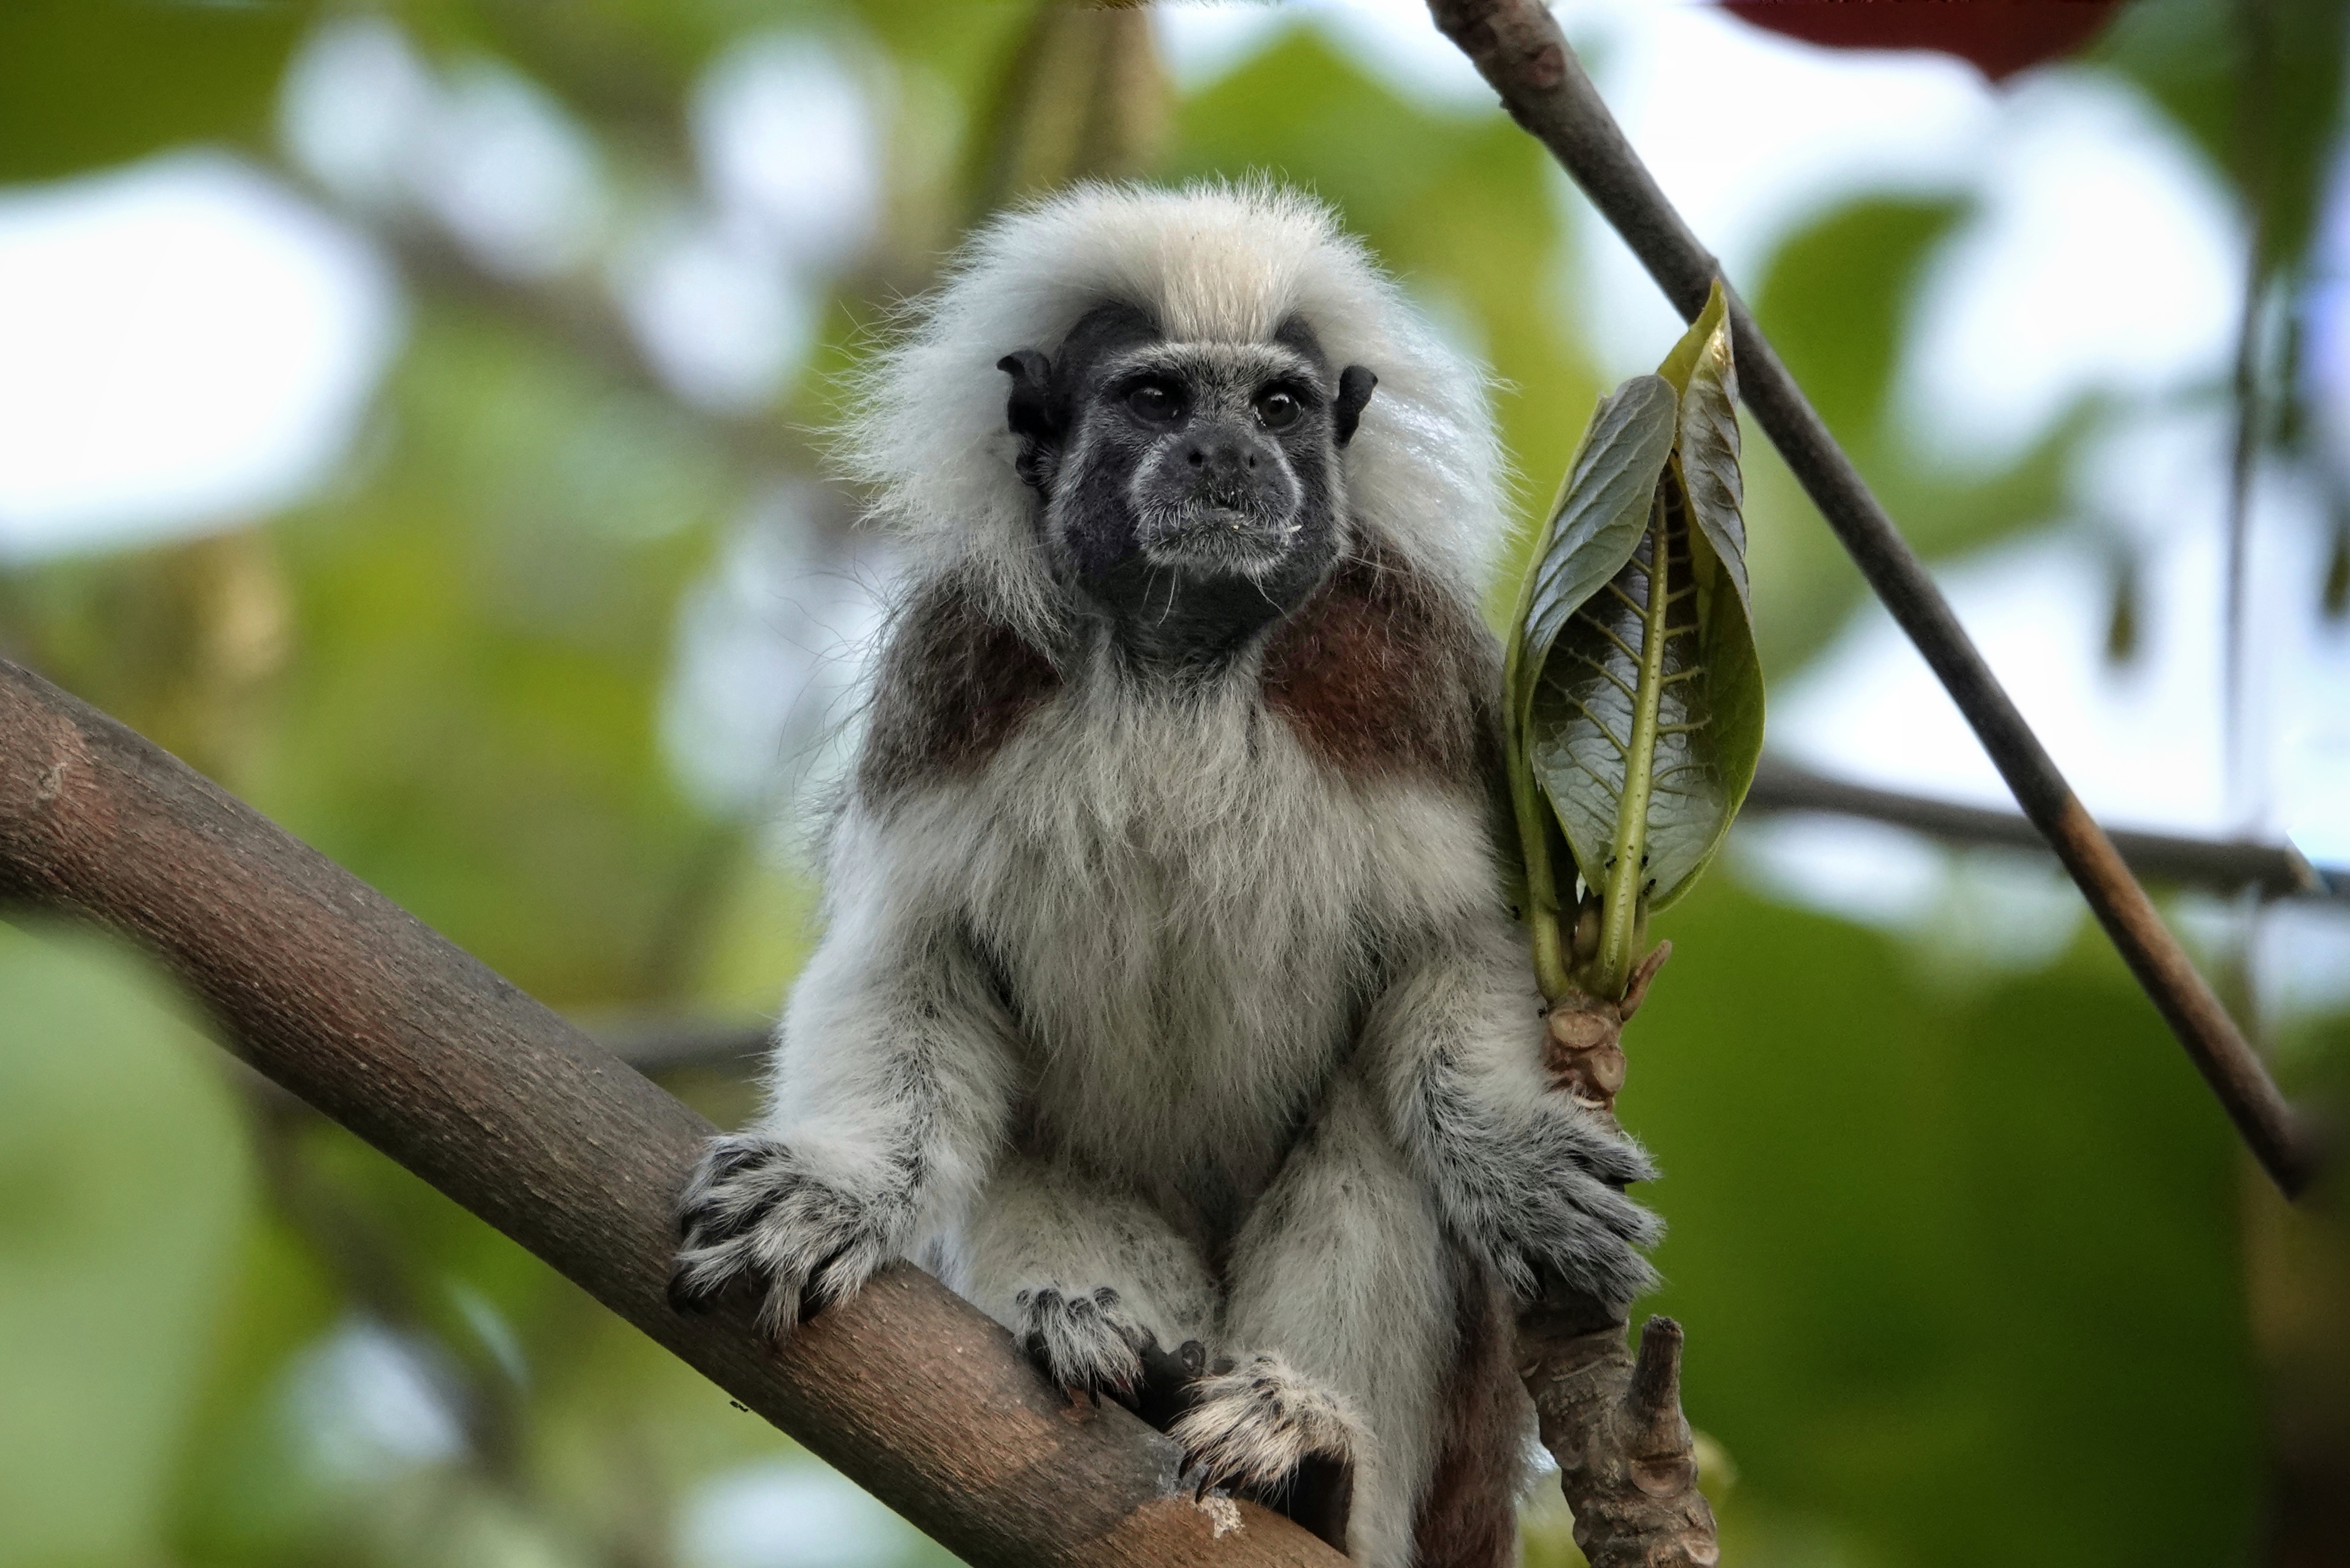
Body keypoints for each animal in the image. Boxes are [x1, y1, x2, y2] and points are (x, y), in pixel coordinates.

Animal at [669, 182, 1662, 1568]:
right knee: (1051, 1151)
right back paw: (1122, 1354)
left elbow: (1457, 947)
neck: (1180, 660)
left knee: (1377, 1124)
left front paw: (1516, 1163)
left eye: (1278, 406)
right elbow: (910, 961)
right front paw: (837, 1190)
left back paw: (1313, 1456)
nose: (1224, 457)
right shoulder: (960, 678)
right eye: (1154, 398)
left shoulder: (1401, 678)